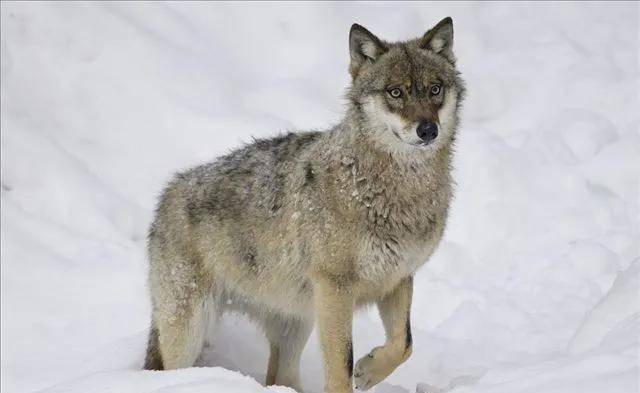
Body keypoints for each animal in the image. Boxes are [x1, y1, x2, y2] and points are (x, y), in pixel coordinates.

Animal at [145, 16, 464, 392]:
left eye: (435, 89)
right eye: (395, 93)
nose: (427, 130)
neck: (395, 194)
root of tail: (168, 194)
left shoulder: (398, 279)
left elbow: (404, 344)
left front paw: (369, 370)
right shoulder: (335, 288)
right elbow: (341, 363)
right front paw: (356, 373)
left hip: (295, 327)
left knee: (278, 378)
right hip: (191, 330)